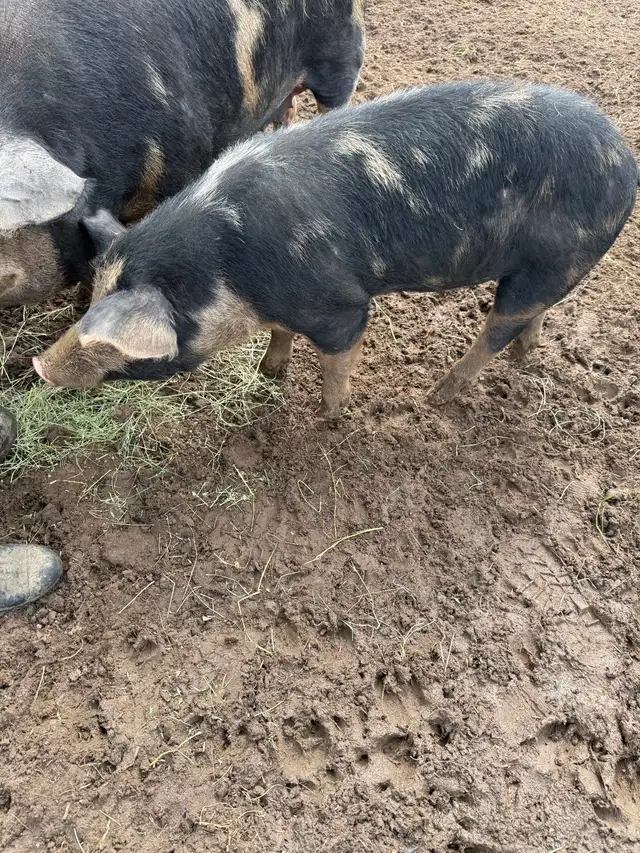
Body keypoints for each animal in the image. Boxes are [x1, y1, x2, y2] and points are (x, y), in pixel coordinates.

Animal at [34, 80, 638, 417]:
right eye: (92, 297)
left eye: (121, 351)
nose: (41, 367)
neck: (233, 272)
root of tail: (624, 159)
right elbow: (281, 337)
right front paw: (269, 374)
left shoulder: (342, 305)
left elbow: (337, 358)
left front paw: (329, 415)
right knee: (531, 318)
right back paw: (521, 359)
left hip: (555, 260)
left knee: (498, 327)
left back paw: (437, 397)